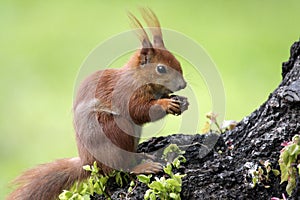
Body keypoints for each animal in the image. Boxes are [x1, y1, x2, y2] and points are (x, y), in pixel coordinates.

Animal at [7, 8, 189, 200]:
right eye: (161, 69)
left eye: (177, 62)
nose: (183, 84)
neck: (137, 78)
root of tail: (89, 163)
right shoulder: (125, 94)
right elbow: (139, 111)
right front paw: (166, 104)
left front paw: (182, 101)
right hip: (114, 131)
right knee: (121, 167)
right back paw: (142, 166)